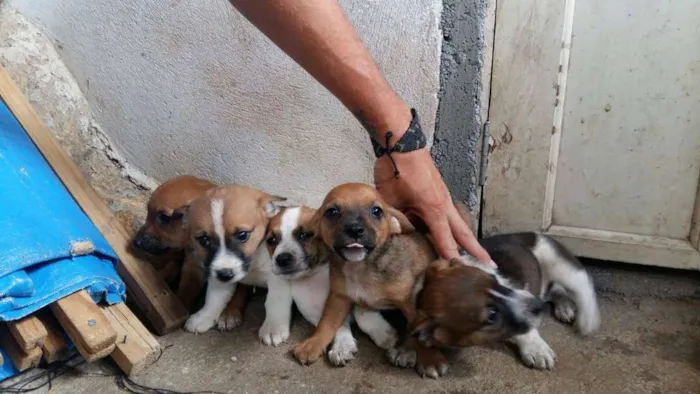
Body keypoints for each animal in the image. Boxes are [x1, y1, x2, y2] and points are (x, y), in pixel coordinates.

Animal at [262, 206, 396, 366]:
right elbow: (335, 325)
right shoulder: (320, 311)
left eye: (304, 235)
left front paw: (384, 334)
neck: (317, 274)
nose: (282, 259)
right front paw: (343, 346)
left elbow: (362, 314)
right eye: (271, 240)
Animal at [294, 182, 452, 372]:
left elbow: (420, 331)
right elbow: (327, 322)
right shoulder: (338, 297)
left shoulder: (411, 303)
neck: (361, 268)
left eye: (376, 211)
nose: (355, 229)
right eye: (332, 212)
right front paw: (313, 343)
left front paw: (431, 358)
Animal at [410, 234, 600, 376]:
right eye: (492, 315)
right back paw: (563, 306)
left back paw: (587, 319)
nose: (539, 306)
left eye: (495, 280)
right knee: (555, 289)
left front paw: (536, 348)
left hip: (560, 265)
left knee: (581, 286)